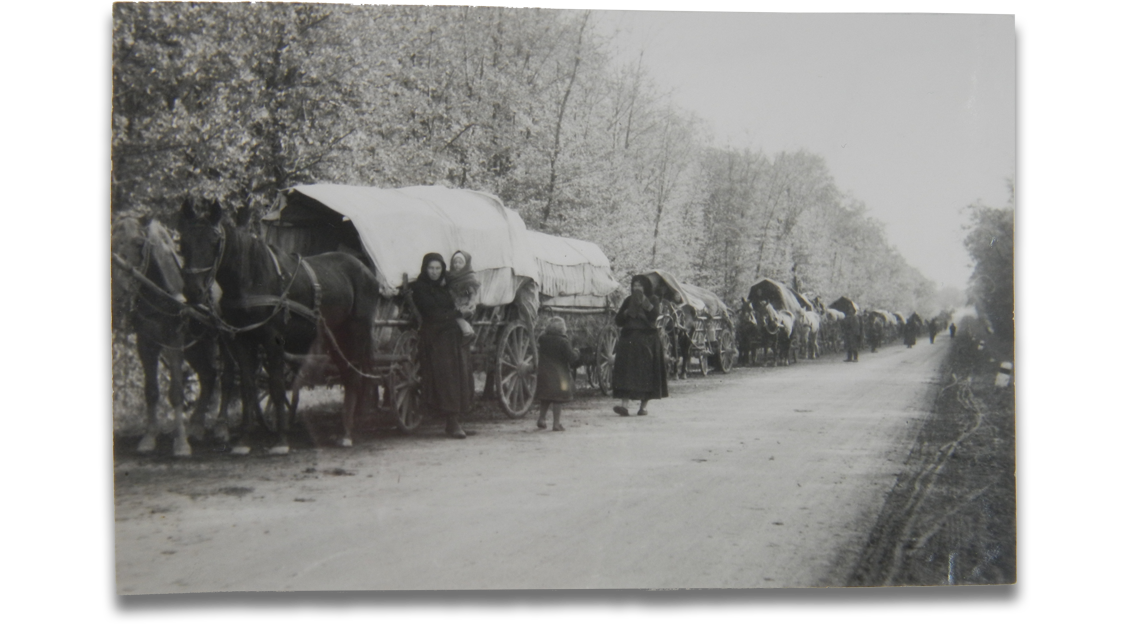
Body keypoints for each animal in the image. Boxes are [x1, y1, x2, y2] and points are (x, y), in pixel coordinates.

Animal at [111, 216, 235, 456]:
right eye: (113, 241)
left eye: (139, 243)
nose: (119, 286)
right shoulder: (145, 341)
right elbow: (151, 391)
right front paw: (149, 439)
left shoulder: (174, 341)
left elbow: (176, 392)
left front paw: (180, 444)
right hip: (196, 346)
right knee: (208, 376)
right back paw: (196, 426)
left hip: (224, 341)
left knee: (226, 378)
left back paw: (221, 428)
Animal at [177, 200, 380, 454]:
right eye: (183, 242)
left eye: (214, 242)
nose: (192, 291)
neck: (252, 278)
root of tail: (365, 270)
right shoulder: (242, 341)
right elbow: (248, 387)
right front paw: (244, 440)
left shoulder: (273, 341)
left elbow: (276, 386)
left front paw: (281, 439)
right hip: (333, 337)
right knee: (348, 373)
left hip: (356, 333)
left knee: (355, 376)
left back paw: (347, 432)